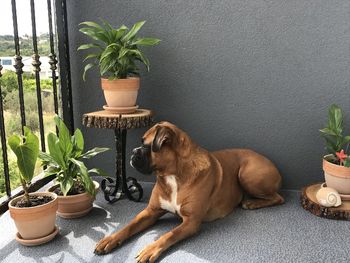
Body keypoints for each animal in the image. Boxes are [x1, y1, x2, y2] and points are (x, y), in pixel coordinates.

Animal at [93, 121, 284, 262]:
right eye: (141, 142)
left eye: (147, 145)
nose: (133, 152)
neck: (172, 175)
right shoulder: (151, 212)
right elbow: (129, 226)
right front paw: (110, 239)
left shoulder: (191, 222)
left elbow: (168, 235)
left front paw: (150, 249)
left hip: (246, 174)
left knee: (279, 198)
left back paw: (252, 203)